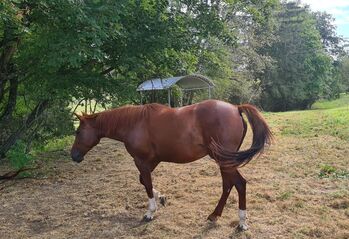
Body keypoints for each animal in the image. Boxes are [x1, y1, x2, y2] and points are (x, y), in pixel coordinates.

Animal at [70, 99, 272, 230]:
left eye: (78, 132)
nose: (74, 156)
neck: (134, 123)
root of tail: (236, 108)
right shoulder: (151, 161)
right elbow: (144, 181)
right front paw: (161, 197)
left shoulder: (141, 161)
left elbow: (147, 184)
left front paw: (150, 212)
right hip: (224, 161)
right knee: (228, 185)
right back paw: (215, 215)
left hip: (224, 160)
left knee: (239, 184)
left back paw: (241, 222)